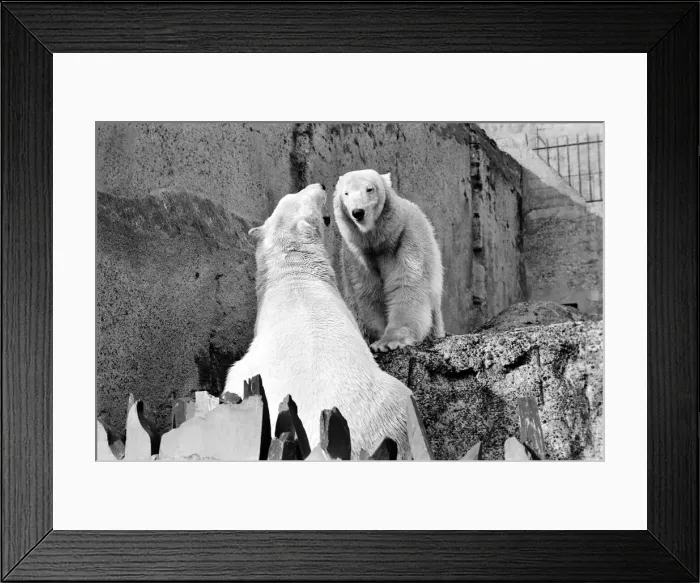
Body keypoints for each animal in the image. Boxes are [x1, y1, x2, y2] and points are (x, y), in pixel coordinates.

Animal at [333, 169, 445, 352]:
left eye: (369, 189)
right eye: (346, 193)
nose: (358, 212)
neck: (379, 242)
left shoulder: (406, 239)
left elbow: (406, 285)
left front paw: (388, 342)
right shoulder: (357, 255)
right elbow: (368, 293)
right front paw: (378, 338)